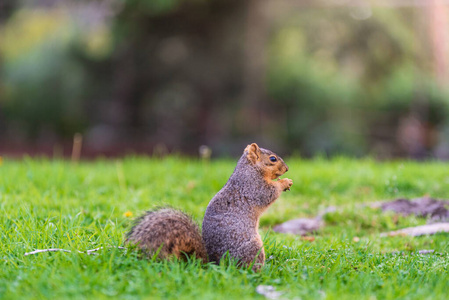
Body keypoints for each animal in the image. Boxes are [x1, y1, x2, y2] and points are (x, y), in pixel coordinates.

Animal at [127, 143, 294, 272]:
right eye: (272, 159)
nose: (287, 168)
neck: (250, 169)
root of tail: (214, 263)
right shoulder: (253, 186)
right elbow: (268, 193)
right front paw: (285, 182)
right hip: (252, 247)